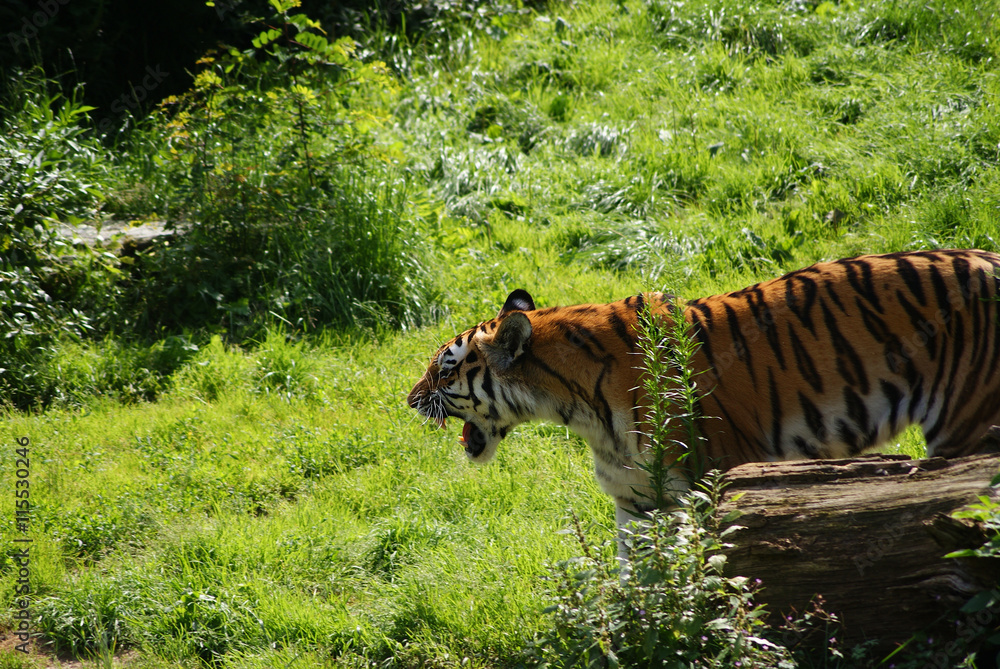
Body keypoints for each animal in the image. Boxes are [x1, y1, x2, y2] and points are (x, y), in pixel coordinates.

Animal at [407, 249, 1000, 533]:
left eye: (444, 370)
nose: (408, 400)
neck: (580, 411)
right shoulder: (635, 500)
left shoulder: (715, 480)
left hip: (969, 425)